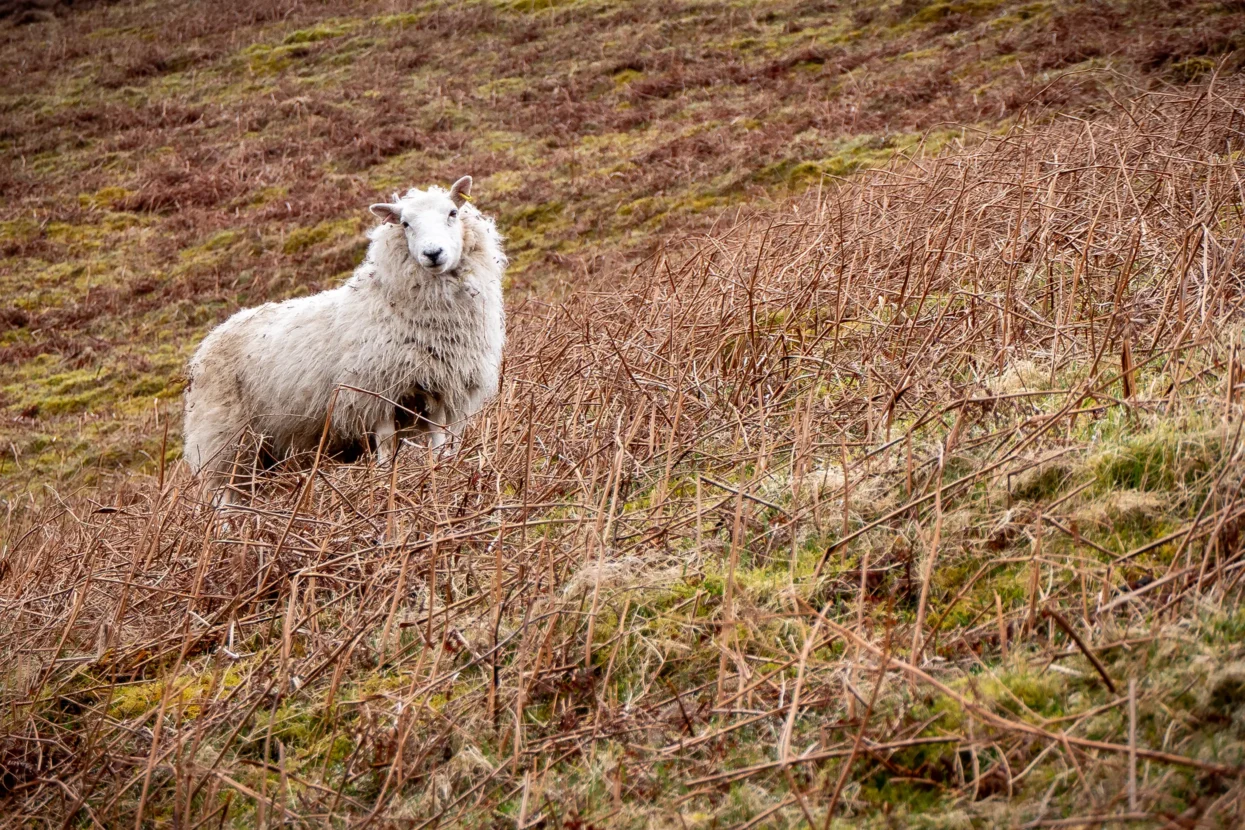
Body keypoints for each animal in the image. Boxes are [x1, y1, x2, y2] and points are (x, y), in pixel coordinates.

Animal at [179, 175, 505, 500]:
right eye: (405, 223)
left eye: (452, 213)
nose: (433, 253)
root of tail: (209, 339)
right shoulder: (374, 393)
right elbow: (386, 447)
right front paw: (384, 485)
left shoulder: (441, 390)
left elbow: (438, 443)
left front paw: (440, 475)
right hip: (222, 438)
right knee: (223, 495)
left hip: (261, 450)